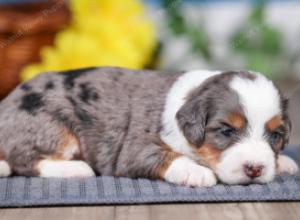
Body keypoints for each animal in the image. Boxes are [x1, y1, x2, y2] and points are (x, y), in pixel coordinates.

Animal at [0, 66, 298, 186]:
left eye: (275, 135)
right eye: (226, 131)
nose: (255, 169)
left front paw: (283, 163)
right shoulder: (133, 150)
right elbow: (167, 155)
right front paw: (196, 172)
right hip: (49, 126)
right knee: (23, 161)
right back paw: (76, 169)